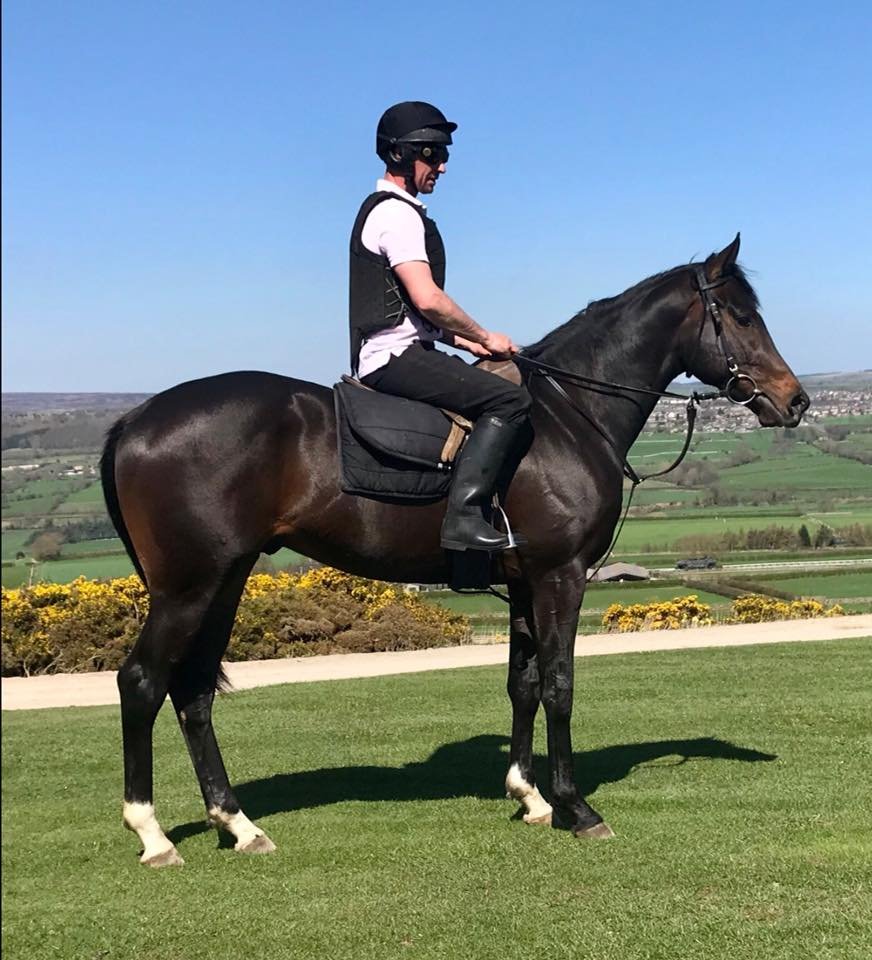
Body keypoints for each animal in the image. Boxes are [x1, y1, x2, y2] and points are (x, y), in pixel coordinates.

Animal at [100, 236, 804, 868]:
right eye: (742, 316)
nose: (794, 400)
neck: (570, 413)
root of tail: (136, 420)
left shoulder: (524, 581)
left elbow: (523, 684)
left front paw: (529, 796)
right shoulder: (561, 576)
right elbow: (559, 684)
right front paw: (575, 807)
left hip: (225, 581)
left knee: (193, 692)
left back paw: (238, 824)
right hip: (189, 588)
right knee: (143, 682)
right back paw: (153, 834)